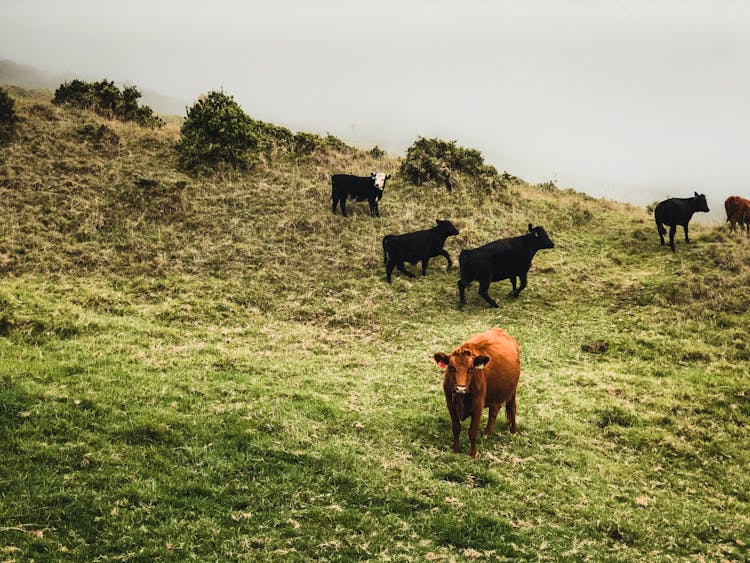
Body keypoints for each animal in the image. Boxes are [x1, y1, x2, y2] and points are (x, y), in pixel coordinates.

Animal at [434, 328, 524, 460]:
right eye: (451, 367)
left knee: (512, 408)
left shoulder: (478, 406)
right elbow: (456, 428)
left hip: (512, 390)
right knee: (494, 410)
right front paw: (456, 450)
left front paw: (473, 454)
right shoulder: (450, 404)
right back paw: (487, 433)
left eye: (471, 369)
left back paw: (514, 431)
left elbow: (472, 431)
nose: (460, 389)